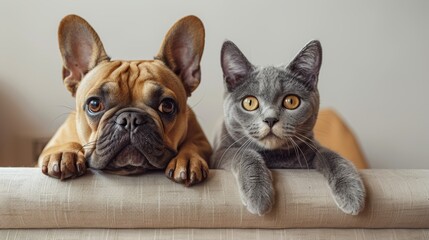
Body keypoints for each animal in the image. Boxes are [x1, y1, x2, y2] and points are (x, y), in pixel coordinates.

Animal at [211, 39, 364, 216]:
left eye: (291, 101)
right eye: (249, 102)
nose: (270, 119)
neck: (275, 157)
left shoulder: (311, 148)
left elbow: (331, 156)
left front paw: (352, 193)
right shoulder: (220, 153)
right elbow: (244, 152)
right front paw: (258, 196)